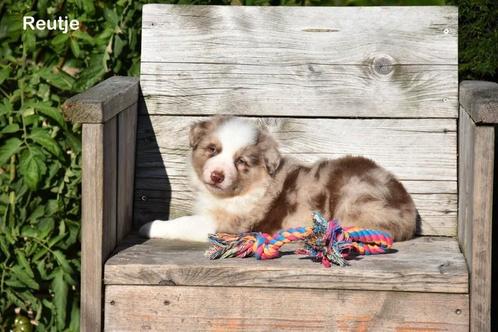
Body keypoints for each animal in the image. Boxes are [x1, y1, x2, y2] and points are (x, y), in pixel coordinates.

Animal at [140, 116, 416, 241]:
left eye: (241, 162)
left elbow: (182, 222)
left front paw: (150, 226)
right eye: (212, 149)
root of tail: (409, 209)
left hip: (354, 197)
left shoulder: (225, 223)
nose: (217, 175)